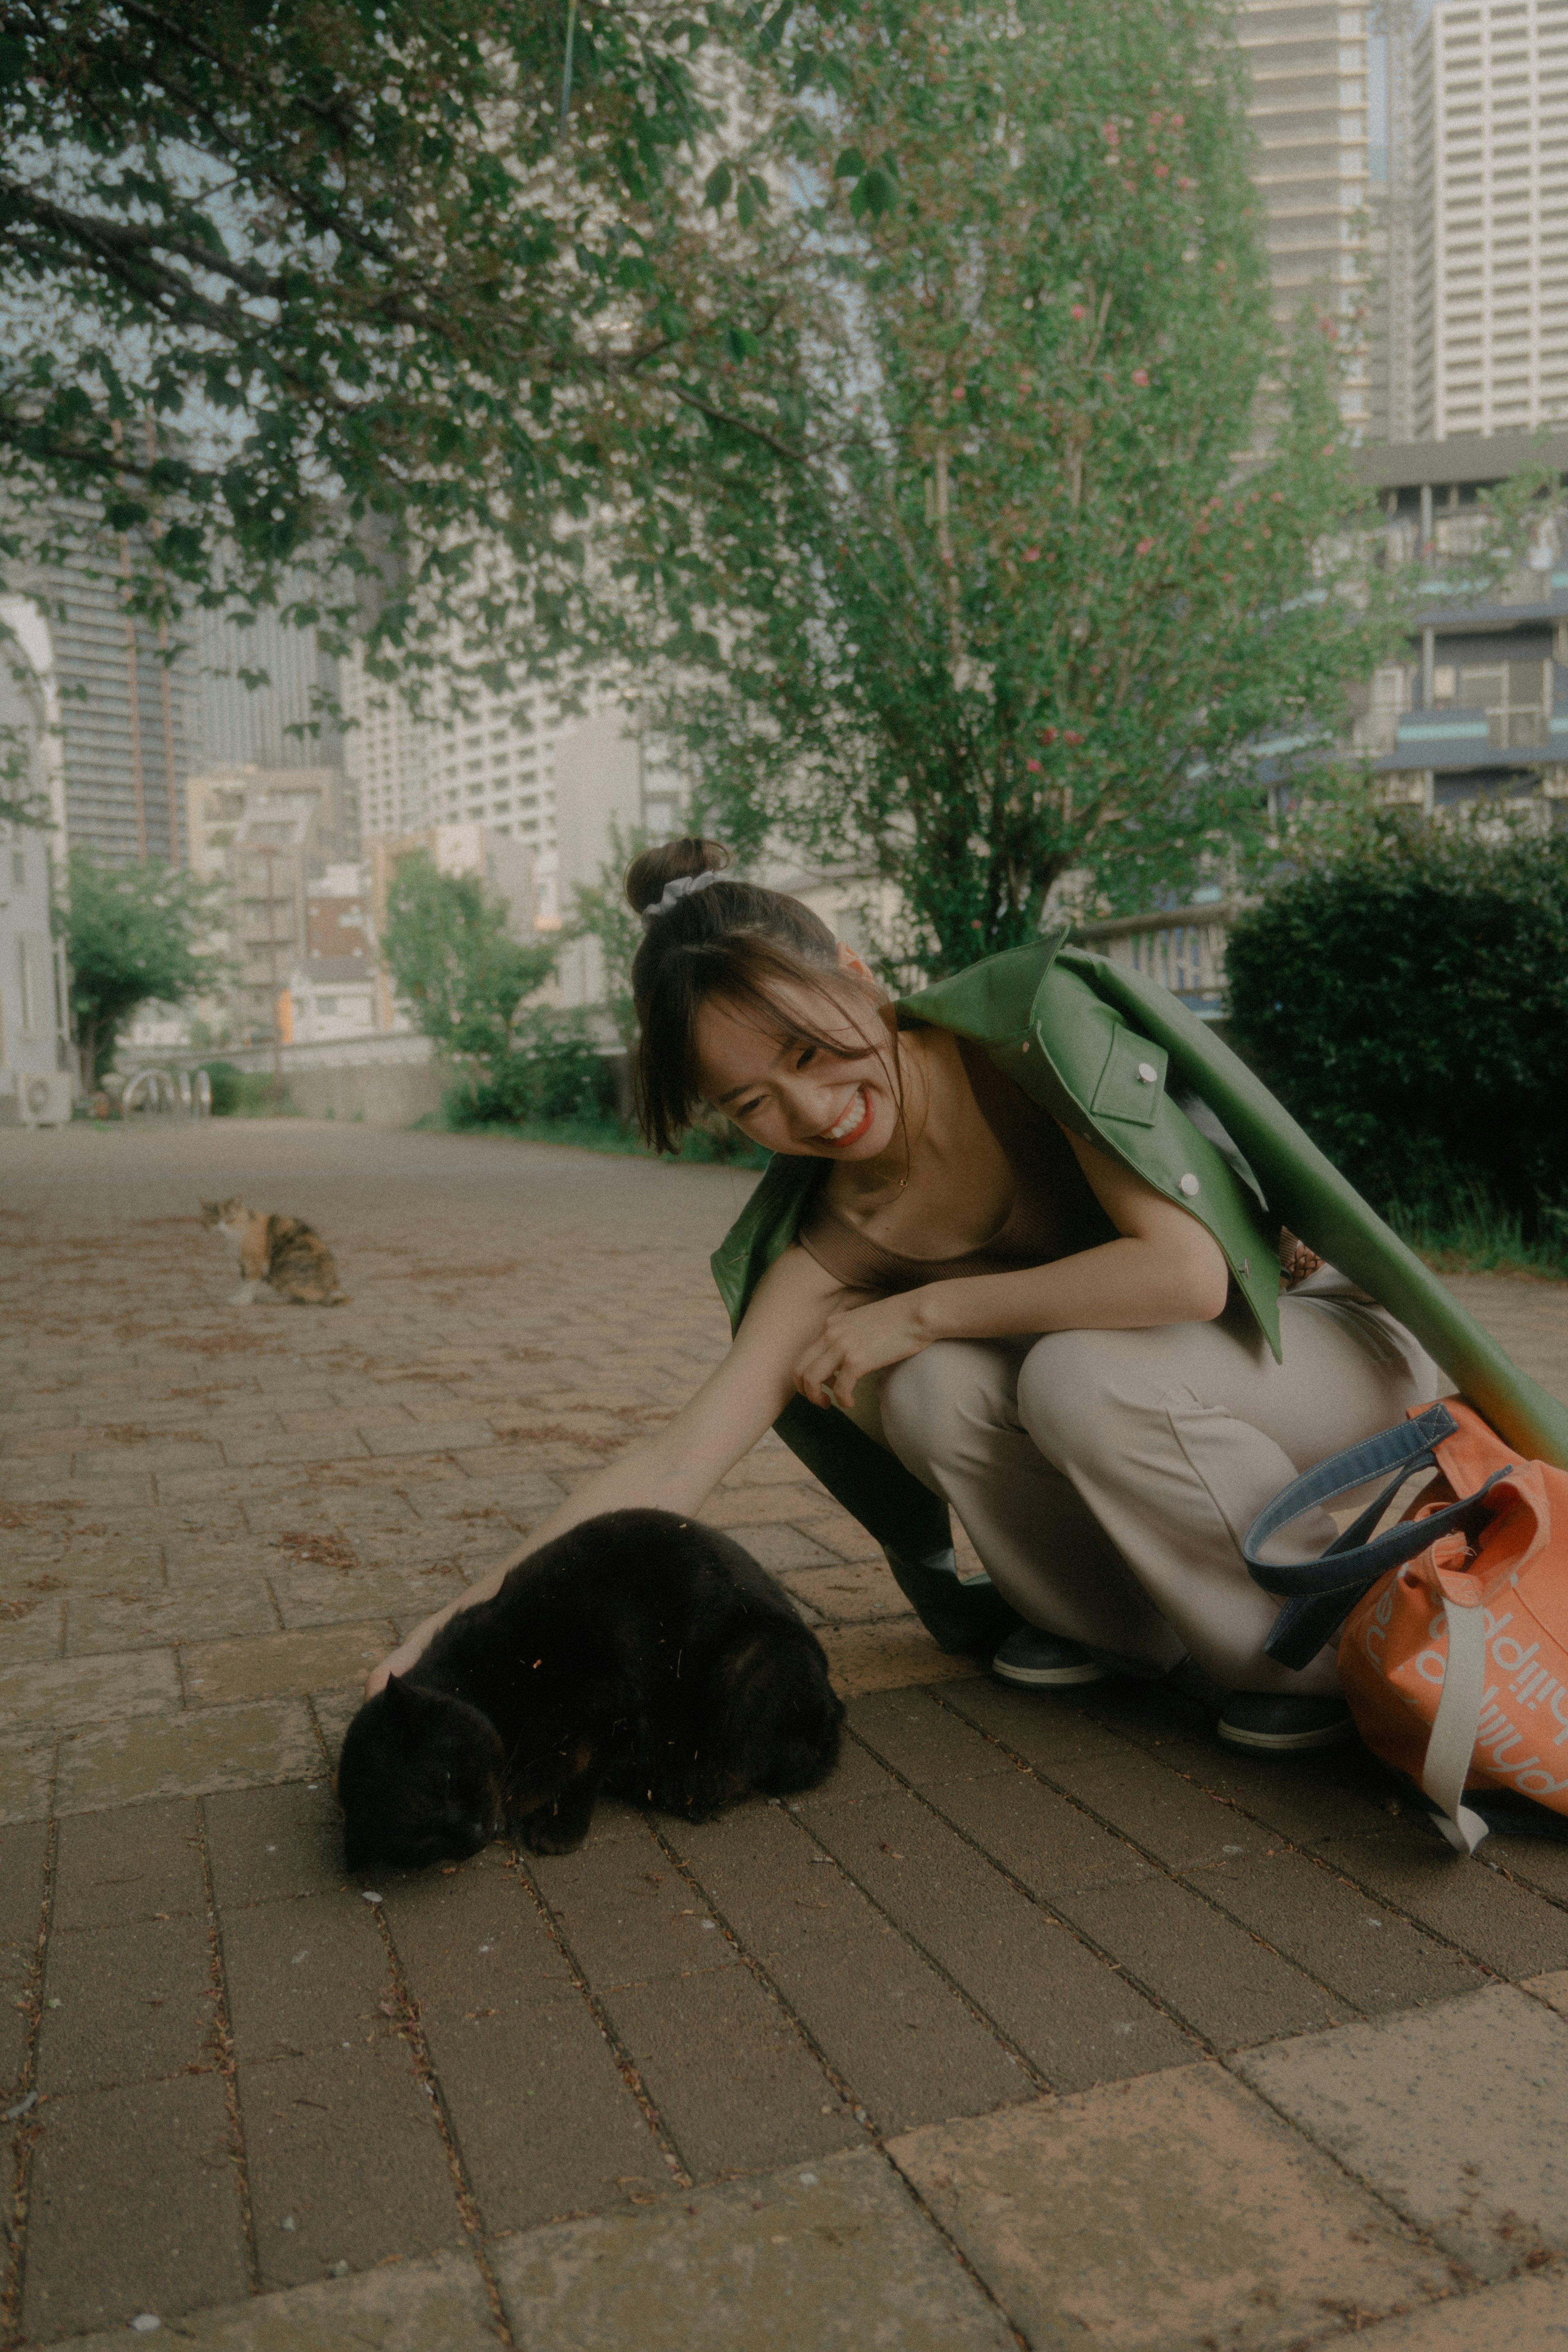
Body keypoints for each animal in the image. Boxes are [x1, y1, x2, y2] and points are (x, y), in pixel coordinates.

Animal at [201, 1195, 348, 1308]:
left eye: (229, 1220)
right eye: (214, 1221)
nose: (221, 1229)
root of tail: (335, 1285)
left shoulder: (255, 1263)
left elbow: (249, 1283)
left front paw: (243, 1300)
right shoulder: (243, 1264)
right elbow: (242, 1282)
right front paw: (239, 1297)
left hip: (287, 1265)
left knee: (308, 1297)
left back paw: (275, 1299)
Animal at [334, 1505, 846, 1872]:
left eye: (444, 1780)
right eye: (425, 1840)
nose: (475, 1832)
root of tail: (835, 1709)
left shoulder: (610, 1707)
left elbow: (582, 1773)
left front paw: (560, 1830)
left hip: (750, 1663)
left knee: (752, 1762)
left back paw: (688, 1789)